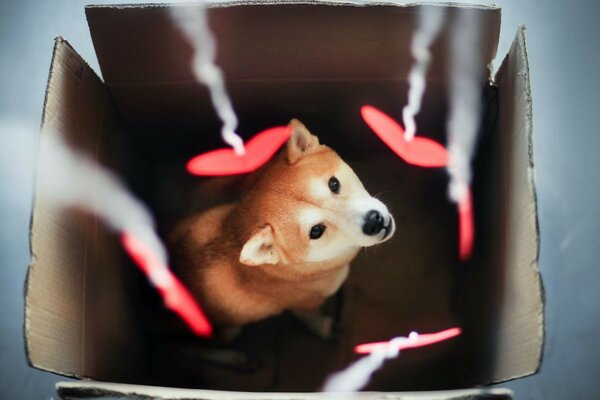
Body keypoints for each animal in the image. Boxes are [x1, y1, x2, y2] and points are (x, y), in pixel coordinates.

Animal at [170, 120, 394, 332]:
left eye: (334, 183)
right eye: (316, 231)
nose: (374, 221)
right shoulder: (306, 304)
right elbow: (309, 316)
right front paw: (322, 327)